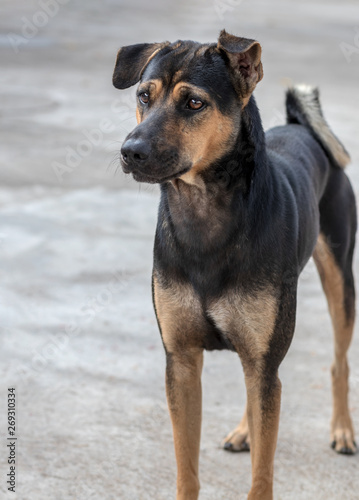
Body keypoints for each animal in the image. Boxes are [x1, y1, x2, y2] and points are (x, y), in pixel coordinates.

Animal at [112, 31, 358, 500]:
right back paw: (246, 431)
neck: (203, 211)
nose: (130, 152)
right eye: (143, 96)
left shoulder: (264, 362)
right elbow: (187, 468)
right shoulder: (182, 362)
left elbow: (262, 475)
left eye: (194, 103)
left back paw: (342, 431)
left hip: (340, 280)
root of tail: (300, 126)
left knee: (338, 360)